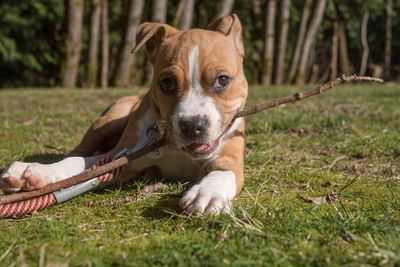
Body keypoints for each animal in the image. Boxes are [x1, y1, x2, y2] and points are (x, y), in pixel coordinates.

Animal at [0, 14, 248, 216]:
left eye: (222, 80)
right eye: (167, 83)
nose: (192, 125)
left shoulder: (230, 158)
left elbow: (224, 173)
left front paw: (207, 193)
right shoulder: (122, 159)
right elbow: (80, 165)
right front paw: (41, 171)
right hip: (106, 122)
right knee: (79, 152)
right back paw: (37, 173)